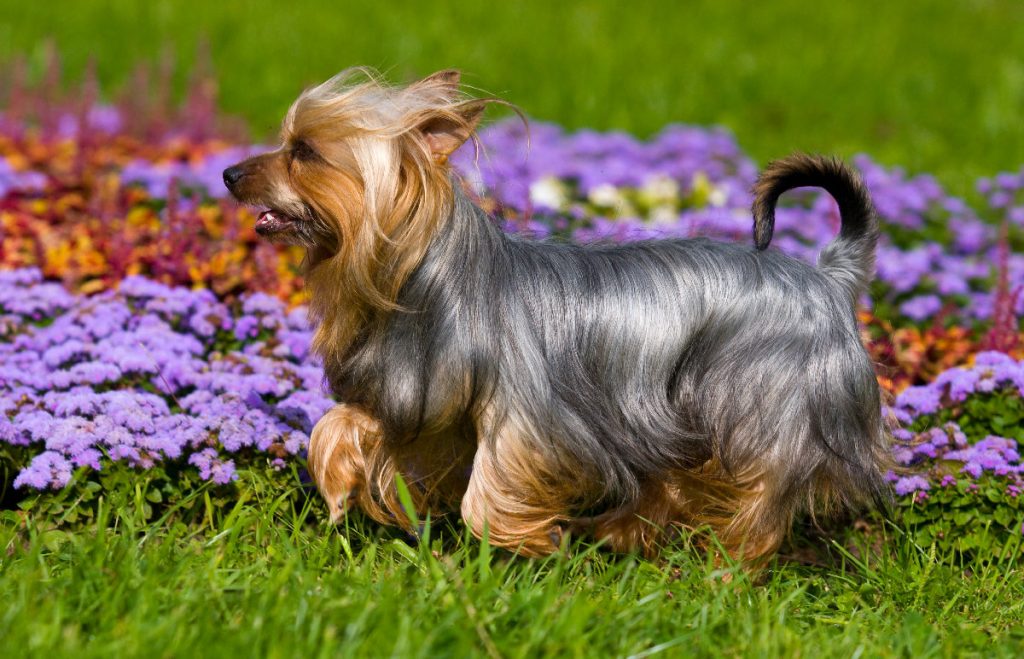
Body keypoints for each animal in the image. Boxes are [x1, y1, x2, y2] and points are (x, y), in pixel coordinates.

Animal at [222, 68, 888, 564]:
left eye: (303, 152)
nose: (228, 173)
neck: (419, 278)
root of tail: (829, 278)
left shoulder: (526, 412)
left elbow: (490, 489)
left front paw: (529, 545)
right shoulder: (421, 395)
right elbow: (339, 424)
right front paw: (338, 491)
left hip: (761, 404)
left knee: (761, 496)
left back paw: (725, 569)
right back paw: (621, 535)